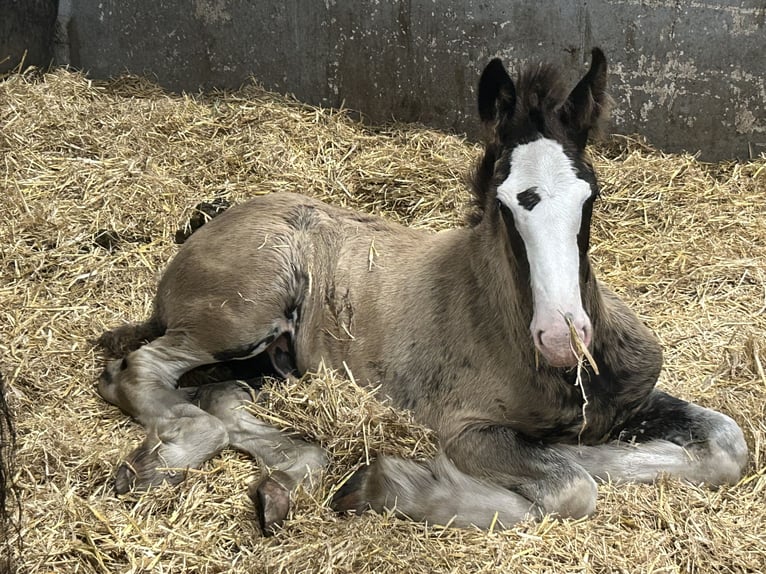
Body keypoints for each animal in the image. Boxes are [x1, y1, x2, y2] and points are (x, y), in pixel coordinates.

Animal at [97, 49, 752, 536]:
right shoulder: (467, 428)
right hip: (242, 315)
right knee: (140, 368)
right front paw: (394, 482)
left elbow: (728, 443)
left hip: (270, 361)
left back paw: (282, 482)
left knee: (218, 393)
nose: (563, 338)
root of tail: (209, 226)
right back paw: (168, 457)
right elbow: (570, 487)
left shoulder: (635, 397)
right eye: (504, 202)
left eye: (590, 193)